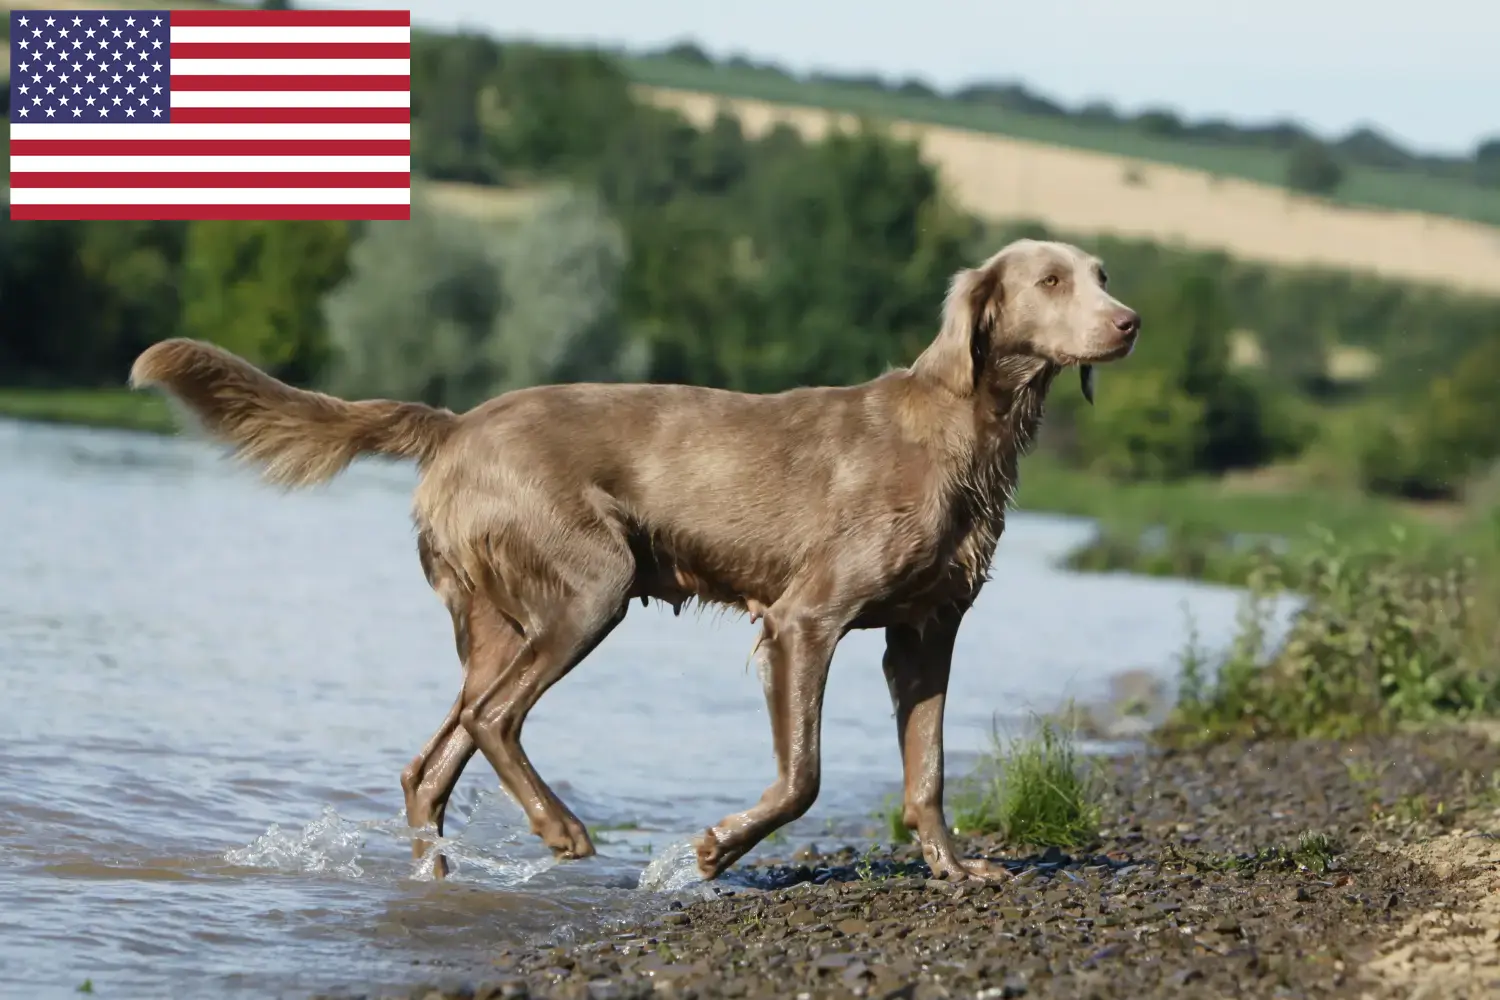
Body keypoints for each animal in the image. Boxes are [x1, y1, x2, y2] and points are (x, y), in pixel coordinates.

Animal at [132, 239, 1134, 881]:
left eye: (1101, 275)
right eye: (1052, 280)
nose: (1128, 322)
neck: (969, 431)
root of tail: (457, 424)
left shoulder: (926, 634)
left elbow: (926, 772)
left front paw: (958, 870)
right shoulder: (805, 618)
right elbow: (803, 775)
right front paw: (716, 848)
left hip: (500, 621)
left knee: (433, 762)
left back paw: (442, 878)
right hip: (590, 588)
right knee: (494, 720)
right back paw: (563, 831)